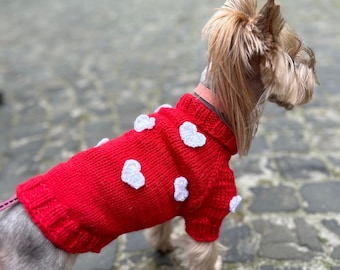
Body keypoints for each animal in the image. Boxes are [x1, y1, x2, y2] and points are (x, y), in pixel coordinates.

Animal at [0, 0, 318, 268]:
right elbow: (205, 252)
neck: (210, 112)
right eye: (293, 59)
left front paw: (163, 246)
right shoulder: (209, 207)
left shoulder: (170, 200)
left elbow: (161, 226)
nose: (315, 67)